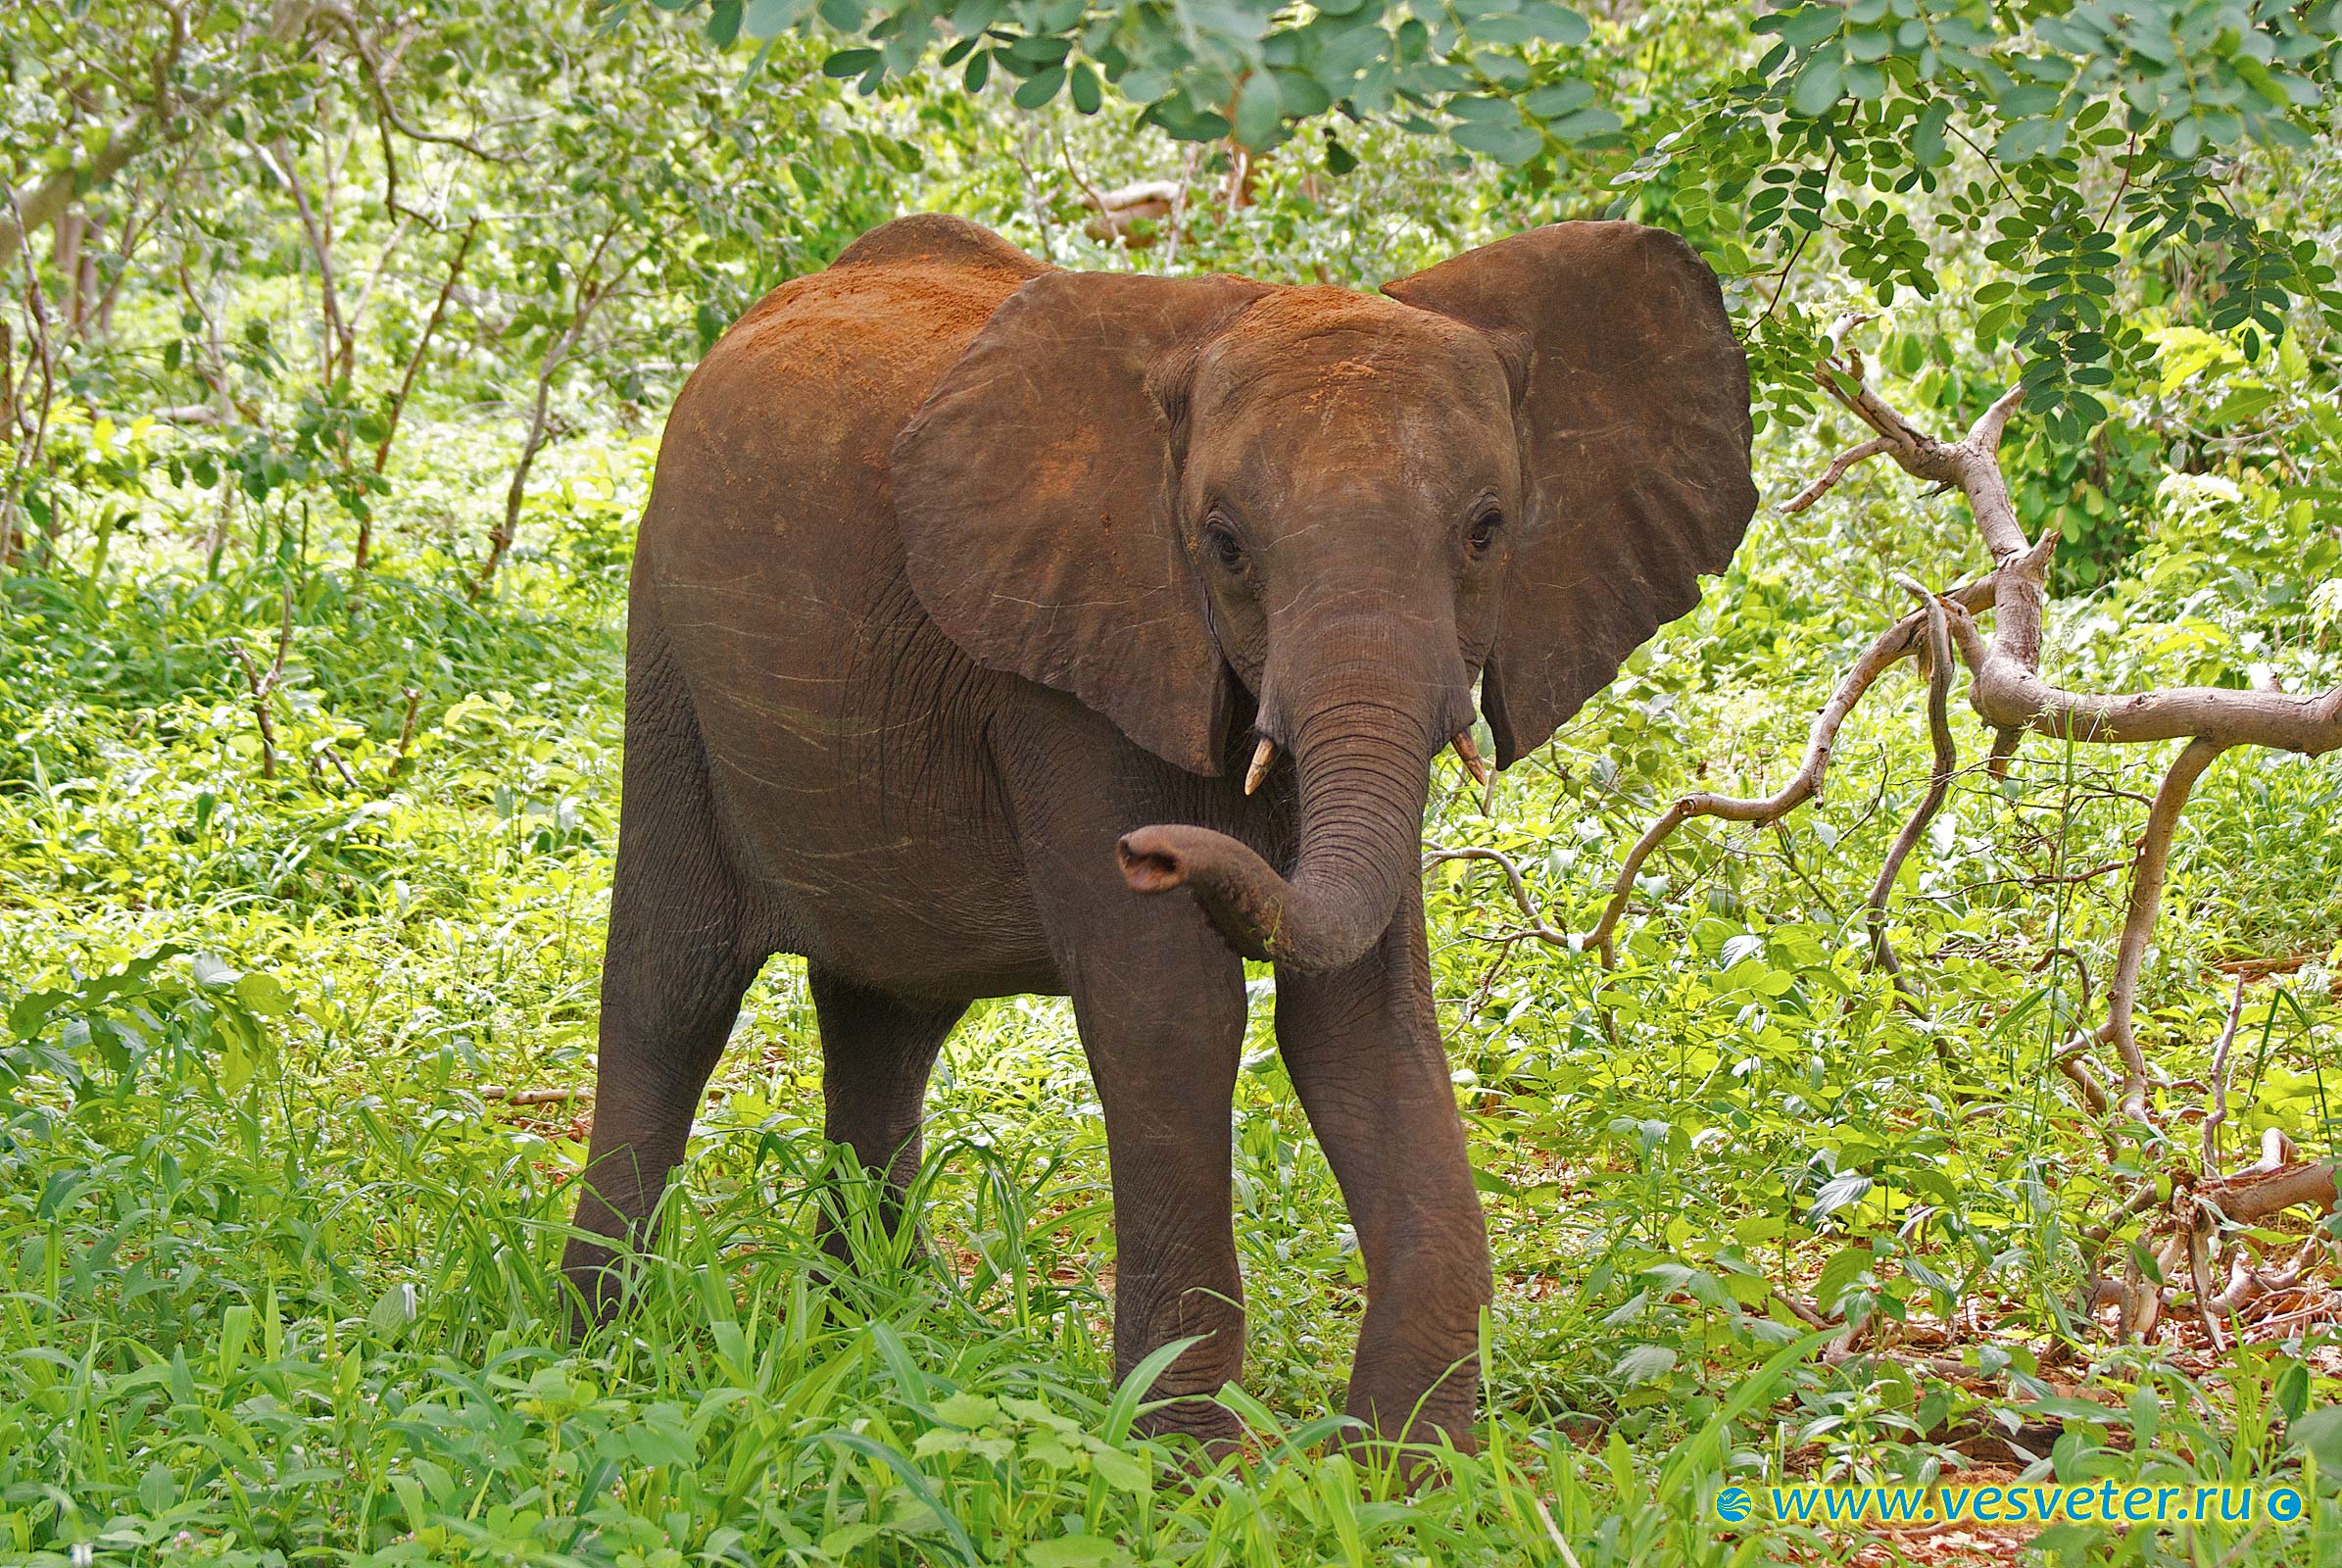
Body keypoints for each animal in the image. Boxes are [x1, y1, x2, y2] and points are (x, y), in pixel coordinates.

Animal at [557, 214, 1751, 1452]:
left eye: (1486, 530)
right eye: (1221, 546)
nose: (1154, 854)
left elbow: (1361, 1024)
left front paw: (1406, 1474)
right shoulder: (1074, 660)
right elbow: (1170, 1010)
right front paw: (1183, 1467)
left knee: (885, 1020)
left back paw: (869, 1331)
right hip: (666, 658)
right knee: (673, 987)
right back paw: (604, 1351)